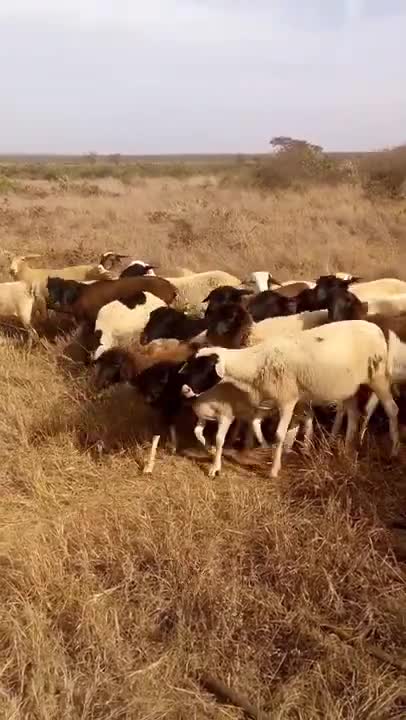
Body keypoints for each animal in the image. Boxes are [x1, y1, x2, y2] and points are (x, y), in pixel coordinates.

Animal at [179, 320, 399, 477]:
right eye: (191, 364)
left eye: (205, 367)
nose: (185, 390)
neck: (256, 362)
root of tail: (376, 328)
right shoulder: (275, 401)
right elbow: (265, 425)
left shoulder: (287, 400)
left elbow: (279, 434)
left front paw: (274, 470)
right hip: (348, 387)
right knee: (353, 414)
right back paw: (346, 450)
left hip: (378, 376)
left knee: (391, 409)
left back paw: (394, 452)